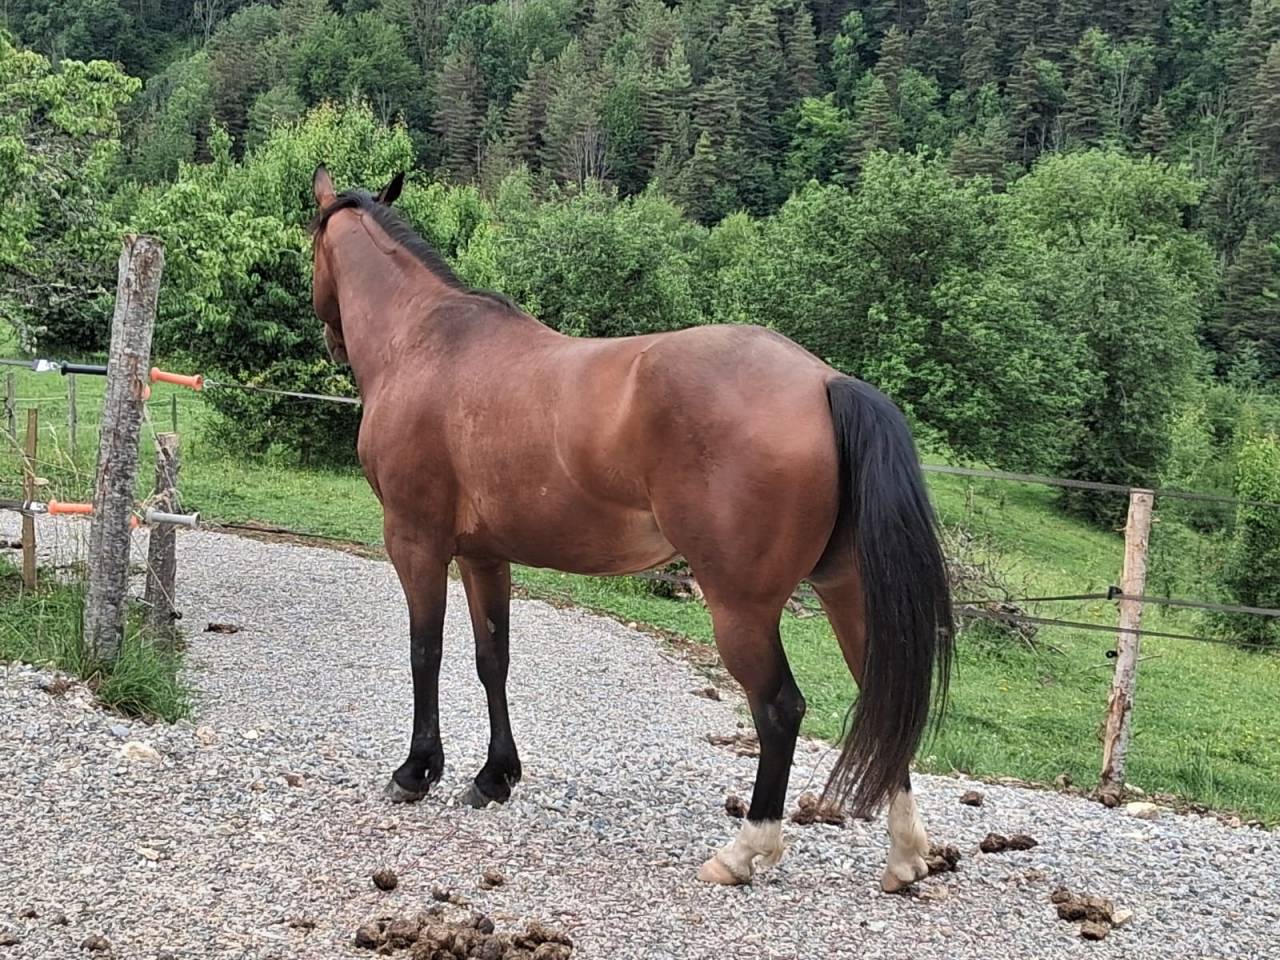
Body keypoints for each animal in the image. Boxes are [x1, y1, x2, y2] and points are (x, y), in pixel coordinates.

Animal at [308, 166, 954, 892]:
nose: (330, 338)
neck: (426, 339)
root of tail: (824, 381)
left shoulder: (416, 542)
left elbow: (426, 652)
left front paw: (416, 771)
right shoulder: (483, 556)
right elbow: (491, 658)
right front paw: (495, 776)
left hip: (742, 608)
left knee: (779, 709)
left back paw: (745, 850)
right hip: (848, 591)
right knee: (885, 701)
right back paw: (905, 854)